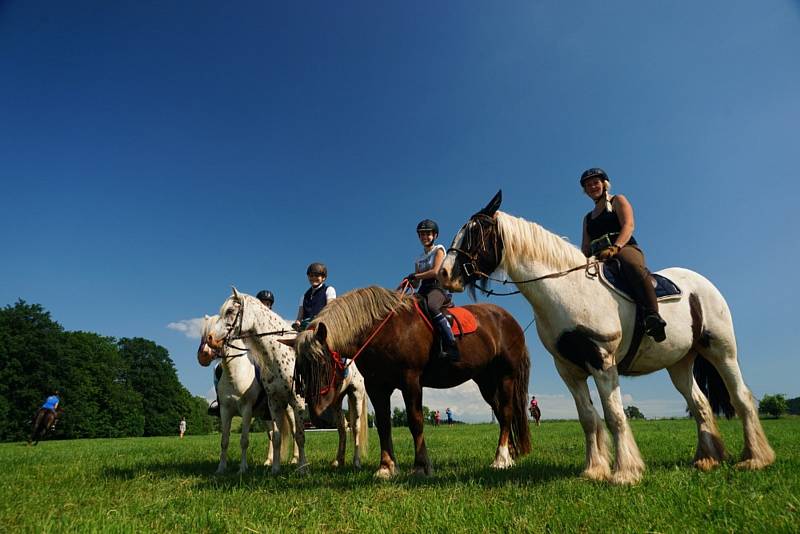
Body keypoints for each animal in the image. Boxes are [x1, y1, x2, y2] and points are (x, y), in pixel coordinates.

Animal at [205, 292, 308, 476]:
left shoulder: (246, 409)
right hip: (266, 415)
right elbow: (224, 440)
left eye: (230, 311)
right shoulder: (225, 410)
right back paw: (268, 461)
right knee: (272, 435)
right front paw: (221, 469)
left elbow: (244, 440)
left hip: (289, 409)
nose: (210, 342)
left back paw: (295, 460)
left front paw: (242, 469)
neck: (234, 374)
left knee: (294, 432)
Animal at [288, 286, 532, 480]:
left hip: (506, 376)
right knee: (501, 414)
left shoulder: (411, 381)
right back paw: (509, 454)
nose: (318, 417)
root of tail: (508, 319)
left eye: (322, 364)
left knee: (507, 412)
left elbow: (416, 422)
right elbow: (384, 425)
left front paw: (421, 466)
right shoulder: (377, 387)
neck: (383, 330)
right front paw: (386, 468)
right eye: (299, 371)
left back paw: (500, 459)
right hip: (486, 382)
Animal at [438, 192, 776, 486]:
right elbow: (588, 418)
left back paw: (756, 458)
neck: (567, 289)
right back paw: (707, 459)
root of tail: (702, 283)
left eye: (475, 231)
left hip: (721, 350)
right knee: (701, 405)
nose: (444, 274)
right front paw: (594, 470)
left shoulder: (602, 361)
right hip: (680, 363)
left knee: (741, 397)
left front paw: (625, 472)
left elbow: (614, 416)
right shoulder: (569, 371)